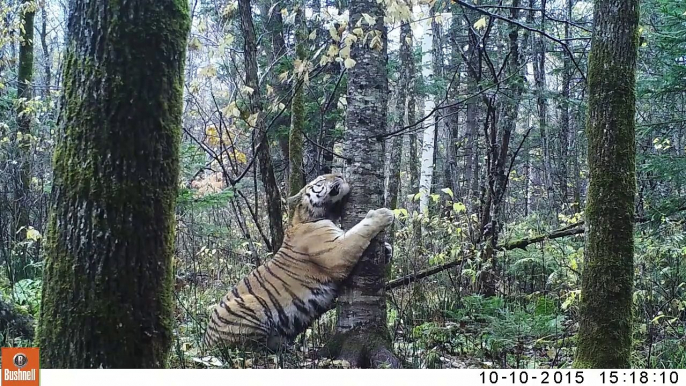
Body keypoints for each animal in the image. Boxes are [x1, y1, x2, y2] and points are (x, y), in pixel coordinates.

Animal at [202, 173, 396, 352]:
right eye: (320, 180)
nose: (340, 175)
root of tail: (206, 342)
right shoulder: (337, 252)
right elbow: (359, 231)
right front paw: (382, 214)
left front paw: (387, 249)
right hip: (250, 304)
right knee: (250, 348)